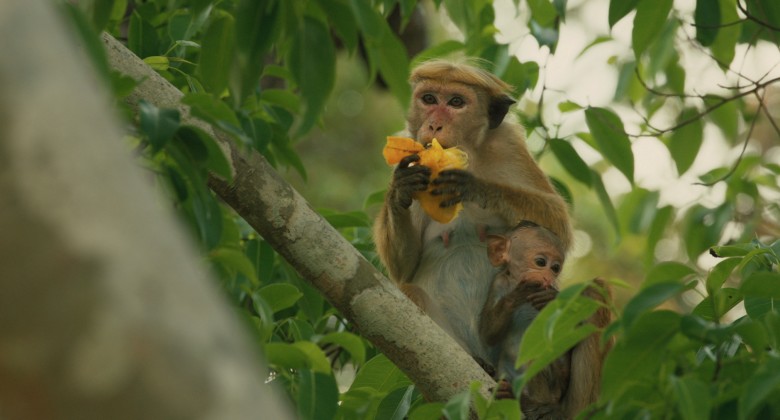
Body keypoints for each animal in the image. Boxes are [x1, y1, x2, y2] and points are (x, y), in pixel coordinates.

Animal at [374, 60, 568, 364]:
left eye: (456, 102)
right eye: (429, 99)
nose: (434, 125)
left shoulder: (509, 146)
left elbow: (559, 226)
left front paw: (475, 186)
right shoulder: (410, 151)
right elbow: (404, 270)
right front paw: (400, 189)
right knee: (410, 290)